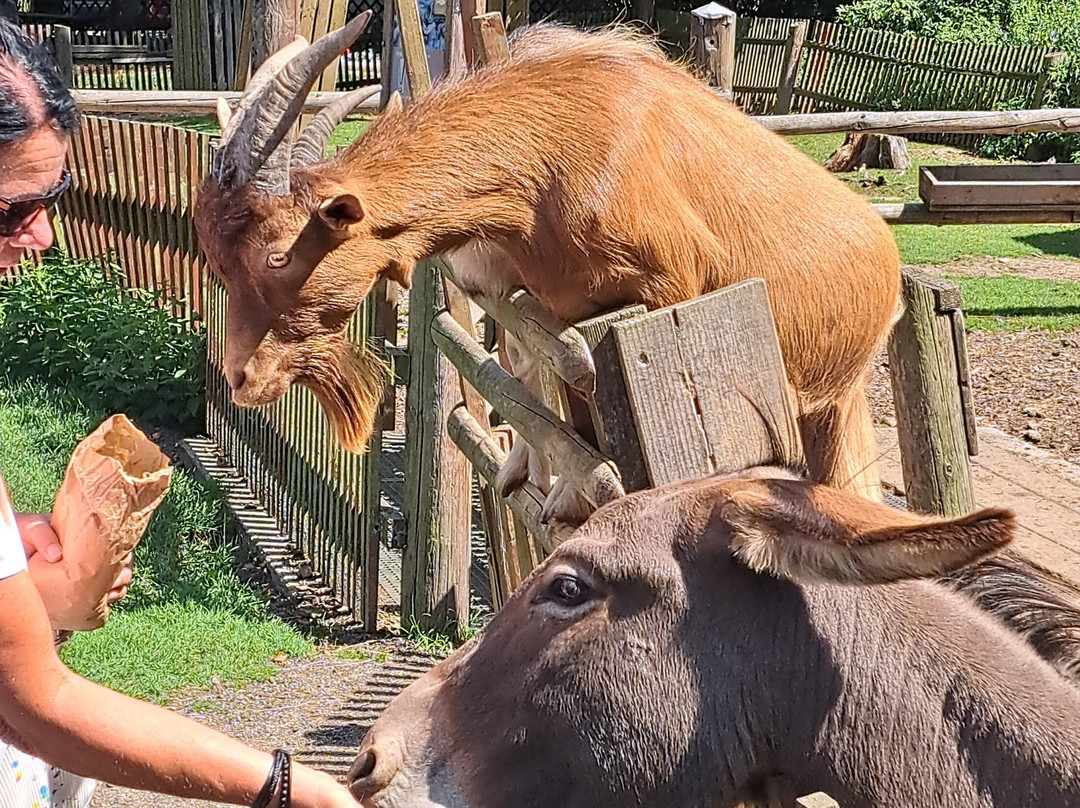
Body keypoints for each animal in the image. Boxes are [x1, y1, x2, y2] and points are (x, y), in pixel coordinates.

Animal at [196, 20, 902, 524]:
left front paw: (568, 499)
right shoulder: (549, 304)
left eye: (279, 254)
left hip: (827, 403)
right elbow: (540, 380)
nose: (240, 377)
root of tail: (885, 259)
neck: (552, 154)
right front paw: (533, 479)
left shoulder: (668, 291)